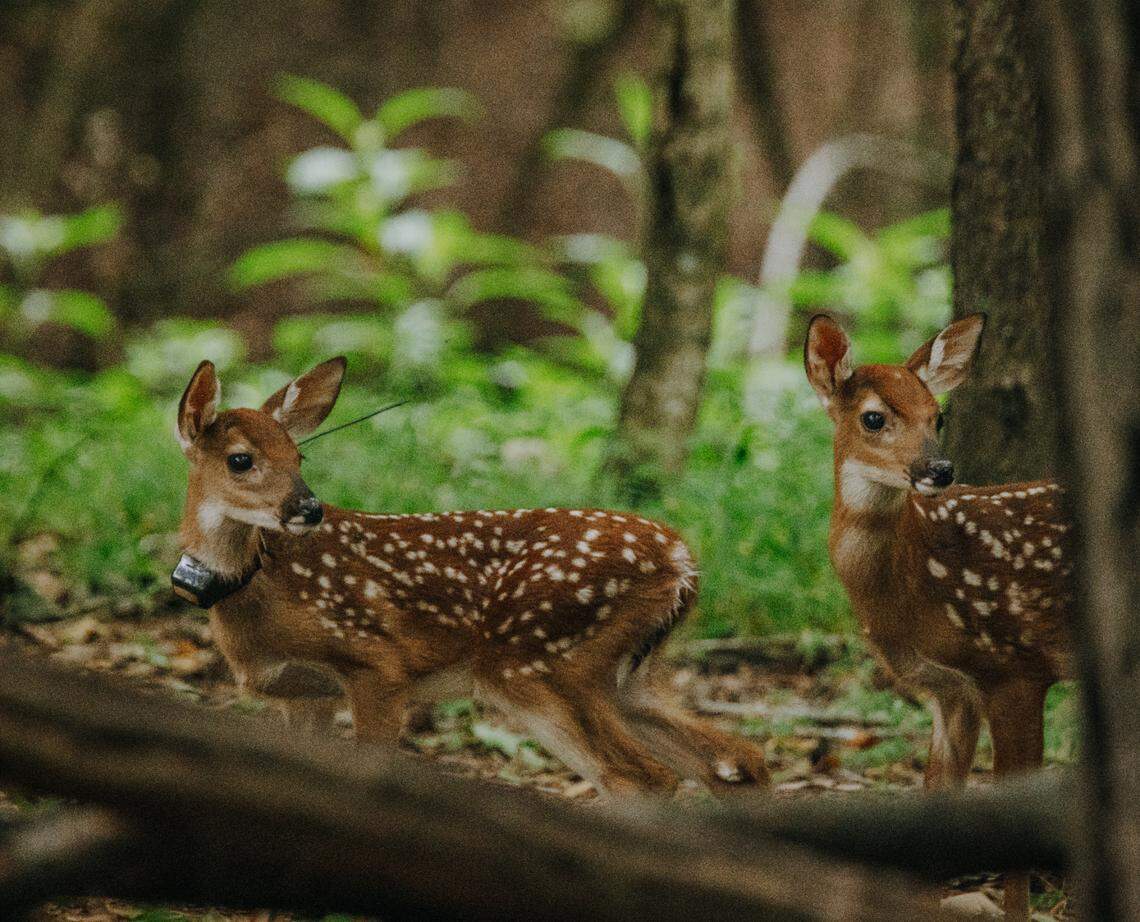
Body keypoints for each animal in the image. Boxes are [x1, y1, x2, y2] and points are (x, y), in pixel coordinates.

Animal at [172, 356, 768, 796]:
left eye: (299, 457)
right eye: (241, 459)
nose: (309, 508)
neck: (259, 593)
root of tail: (682, 560)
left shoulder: (378, 662)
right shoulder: (302, 691)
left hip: (538, 659)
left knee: (642, 776)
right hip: (626, 674)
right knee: (737, 758)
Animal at [804, 313, 1074, 919]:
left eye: (939, 416)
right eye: (874, 417)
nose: (940, 468)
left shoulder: (1016, 668)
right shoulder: (948, 692)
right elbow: (936, 801)